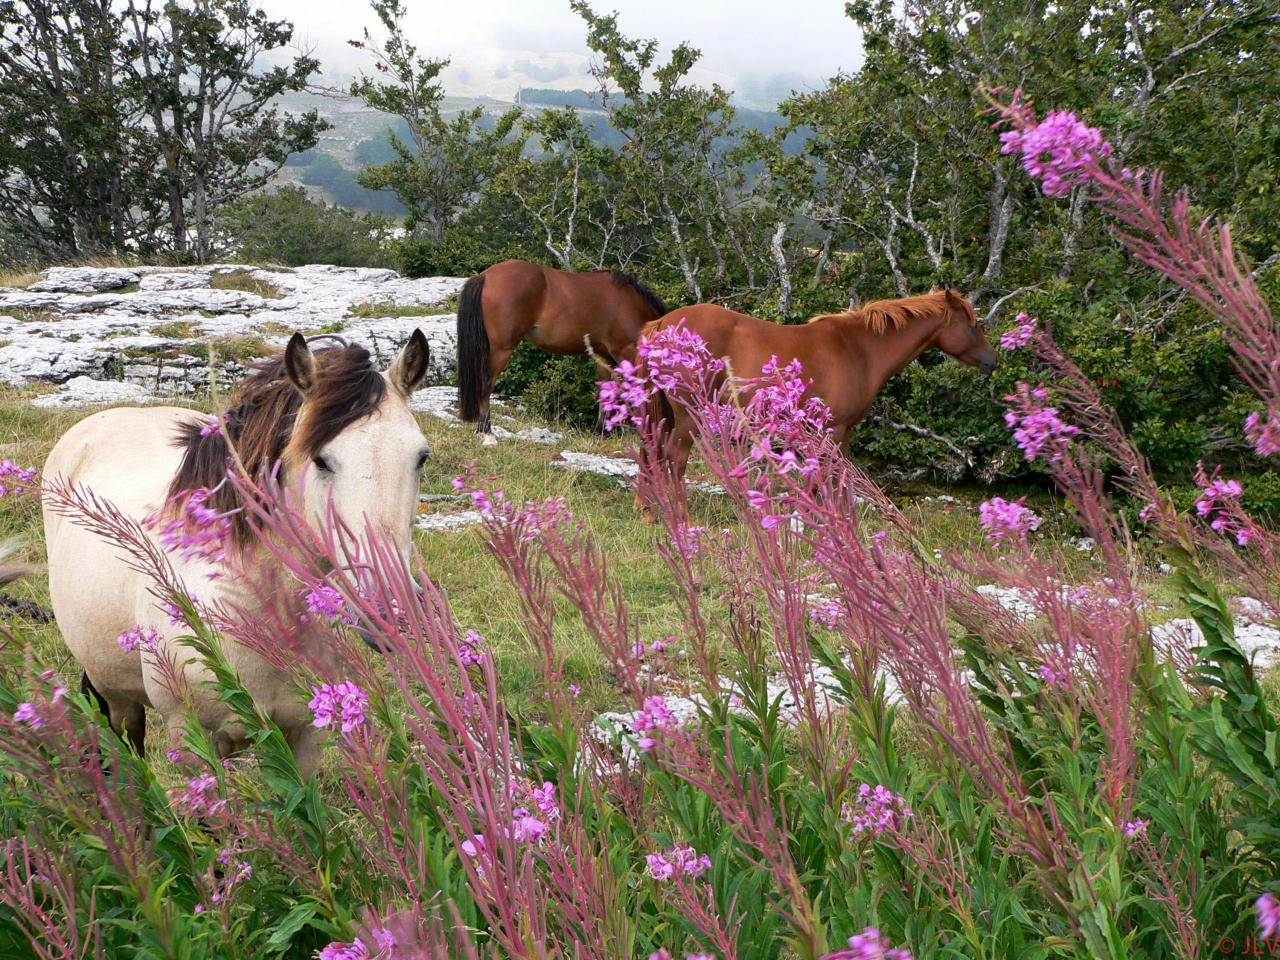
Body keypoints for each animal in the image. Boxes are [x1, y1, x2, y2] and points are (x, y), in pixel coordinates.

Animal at [41, 335, 430, 778]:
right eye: (321, 460)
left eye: (421, 457)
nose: (390, 612)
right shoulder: (192, 742)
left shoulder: (305, 737)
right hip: (115, 695)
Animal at [455, 257, 665, 437]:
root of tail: (485, 276)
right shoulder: (624, 351)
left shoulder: (603, 356)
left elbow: (606, 391)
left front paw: (601, 430)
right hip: (501, 349)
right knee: (486, 382)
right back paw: (485, 428)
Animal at [645, 289, 993, 488]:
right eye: (973, 325)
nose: (994, 360)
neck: (860, 349)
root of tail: (663, 325)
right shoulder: (834, 429)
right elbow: (825, 479)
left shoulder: (843, 432)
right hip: (689, 415)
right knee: (675, 459)